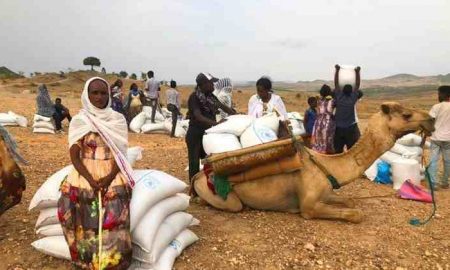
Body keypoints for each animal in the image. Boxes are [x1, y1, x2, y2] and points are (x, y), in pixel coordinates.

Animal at [194, 102, 436, 223]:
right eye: (406, 115)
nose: (431, 119)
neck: (327, 165)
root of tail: (200, 174)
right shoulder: (308, 206)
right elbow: (355, 214)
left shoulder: (326, 191)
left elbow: (349, 201)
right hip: (227, 199)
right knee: (231, 205)